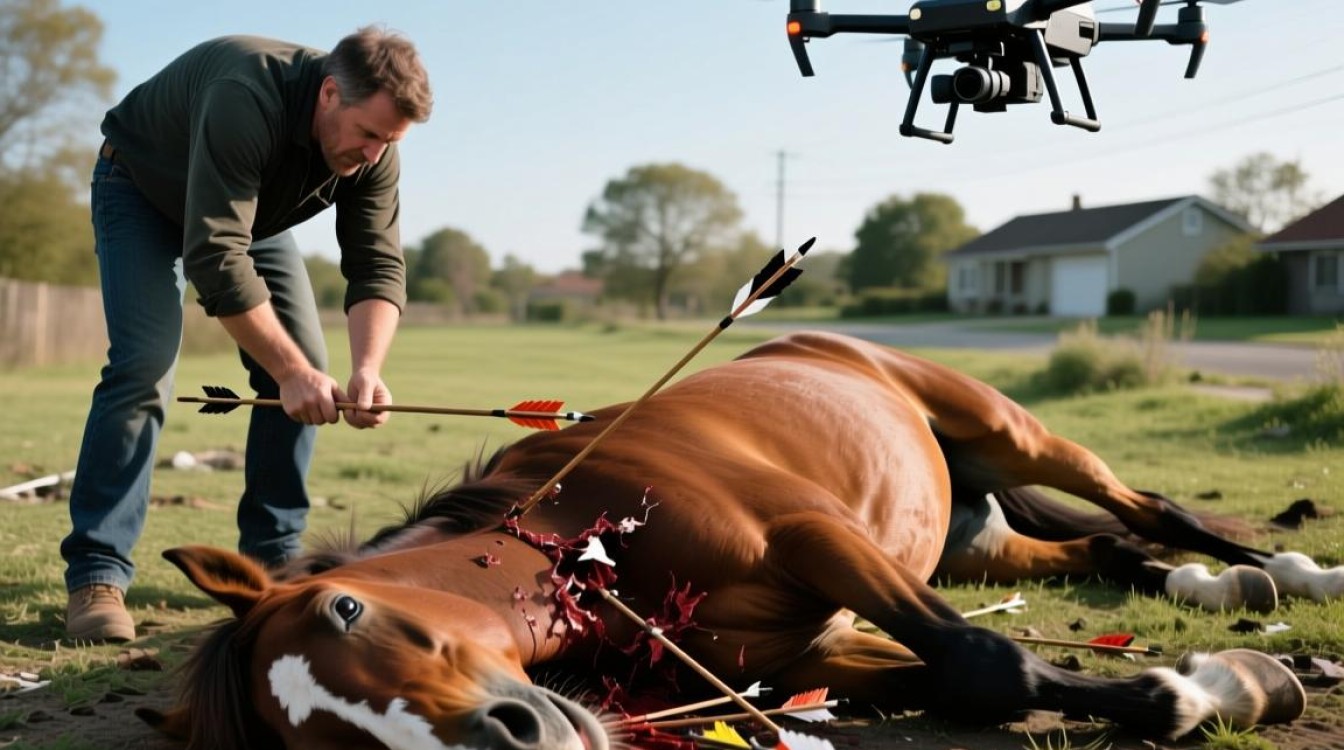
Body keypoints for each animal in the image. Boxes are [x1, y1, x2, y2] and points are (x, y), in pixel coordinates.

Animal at [140, 330, 1323, 750]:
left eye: (346, 607)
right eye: (317, 744)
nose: (507, 738)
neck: (579, 532)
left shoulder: (820, 541)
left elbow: (983, 662)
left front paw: (1186, 699)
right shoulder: (806, 658)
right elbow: (952, 678)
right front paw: (1227, 686)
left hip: (1011, 434)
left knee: (1150, 508)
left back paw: (1277, 571)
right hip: (978, 543)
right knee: (1108, 553)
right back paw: (1237, 599)